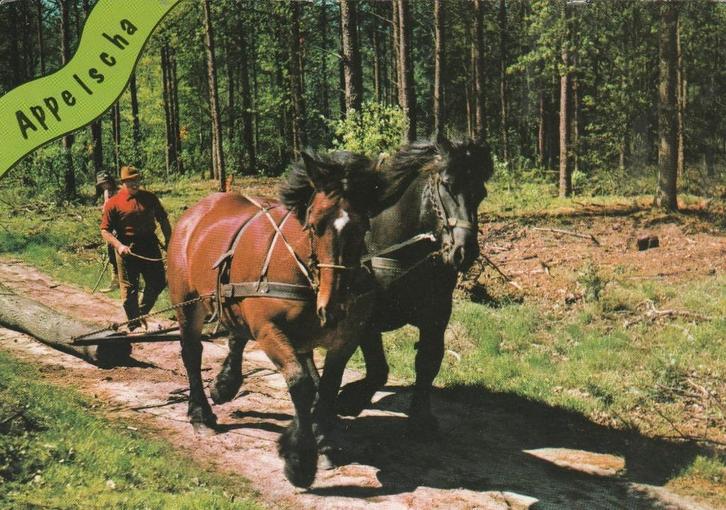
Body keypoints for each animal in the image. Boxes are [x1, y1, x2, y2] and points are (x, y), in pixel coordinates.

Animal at [166, 150, 383, 487]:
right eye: (314, 226)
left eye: (362, 227)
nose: (333, 307)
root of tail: (196, 213)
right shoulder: (269, 330)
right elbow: (301, 383)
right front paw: (300, 458)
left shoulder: (345, 339)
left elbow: (328, 386)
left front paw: (323, 441)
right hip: (187, 304)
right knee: (192, 353)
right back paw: (200, 414)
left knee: (236, 336)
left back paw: (226, 384)